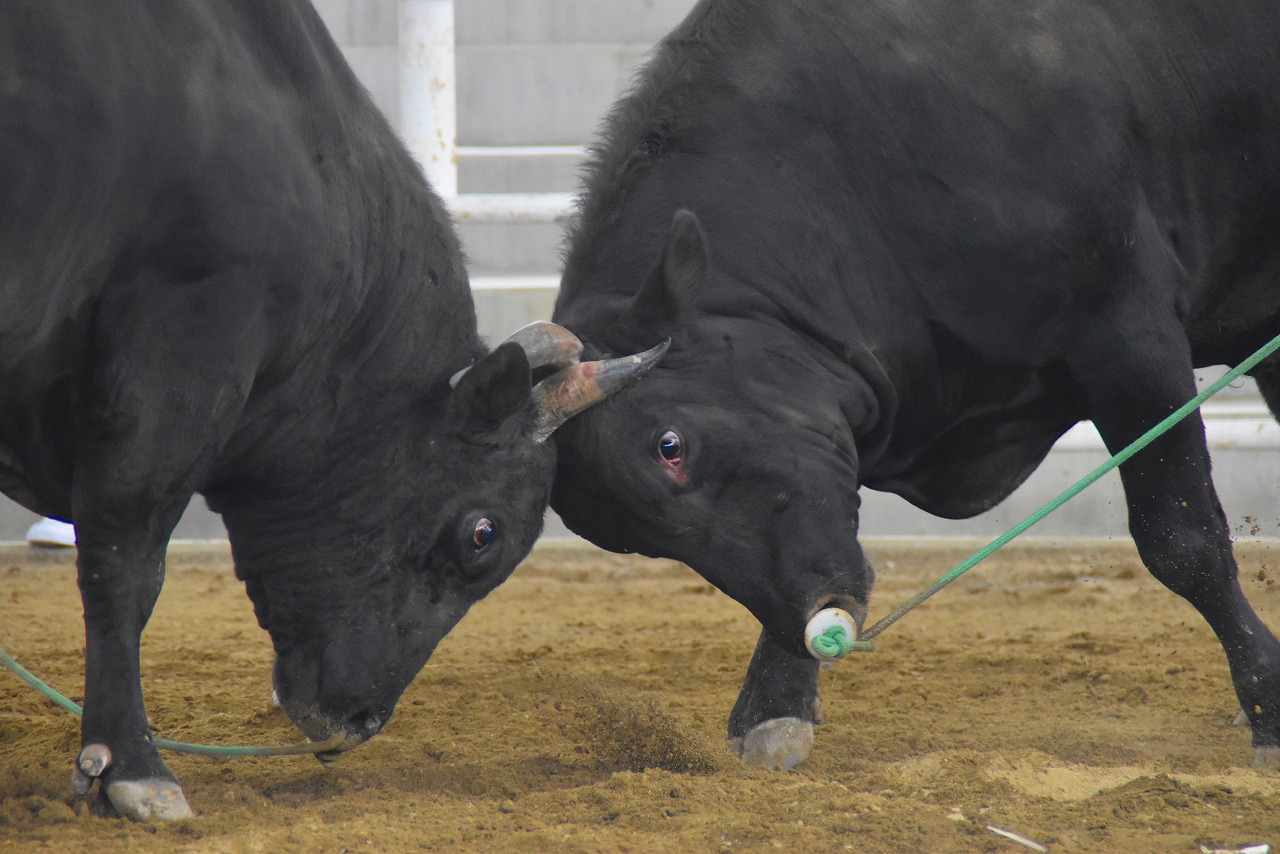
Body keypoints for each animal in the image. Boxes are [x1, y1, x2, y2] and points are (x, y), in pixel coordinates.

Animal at [552, 0, 1280, 773]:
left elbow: (1183, 540)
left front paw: (1268, 703)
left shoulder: (1131, 336)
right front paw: (775, 708)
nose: (813, 620)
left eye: (671, 445)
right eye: (634, 541)